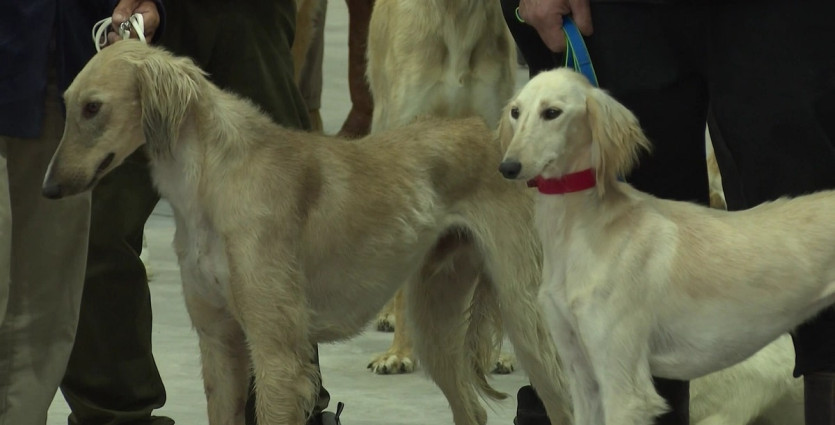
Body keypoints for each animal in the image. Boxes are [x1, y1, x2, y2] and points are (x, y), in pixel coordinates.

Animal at [40, 40, 576, 424]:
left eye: (93, 108)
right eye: (67, 105)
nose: (48, 189)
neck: (214, 180)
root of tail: (504, 142)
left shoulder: (278, 355)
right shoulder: (220, 343)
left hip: (528, 319)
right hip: (436, 323)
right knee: (473, 409)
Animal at [496, 67, 835, 424]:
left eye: (552, 112)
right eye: (516, 111)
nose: (508, 167)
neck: (588, 227)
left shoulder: (623, 386)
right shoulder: (582, 377)